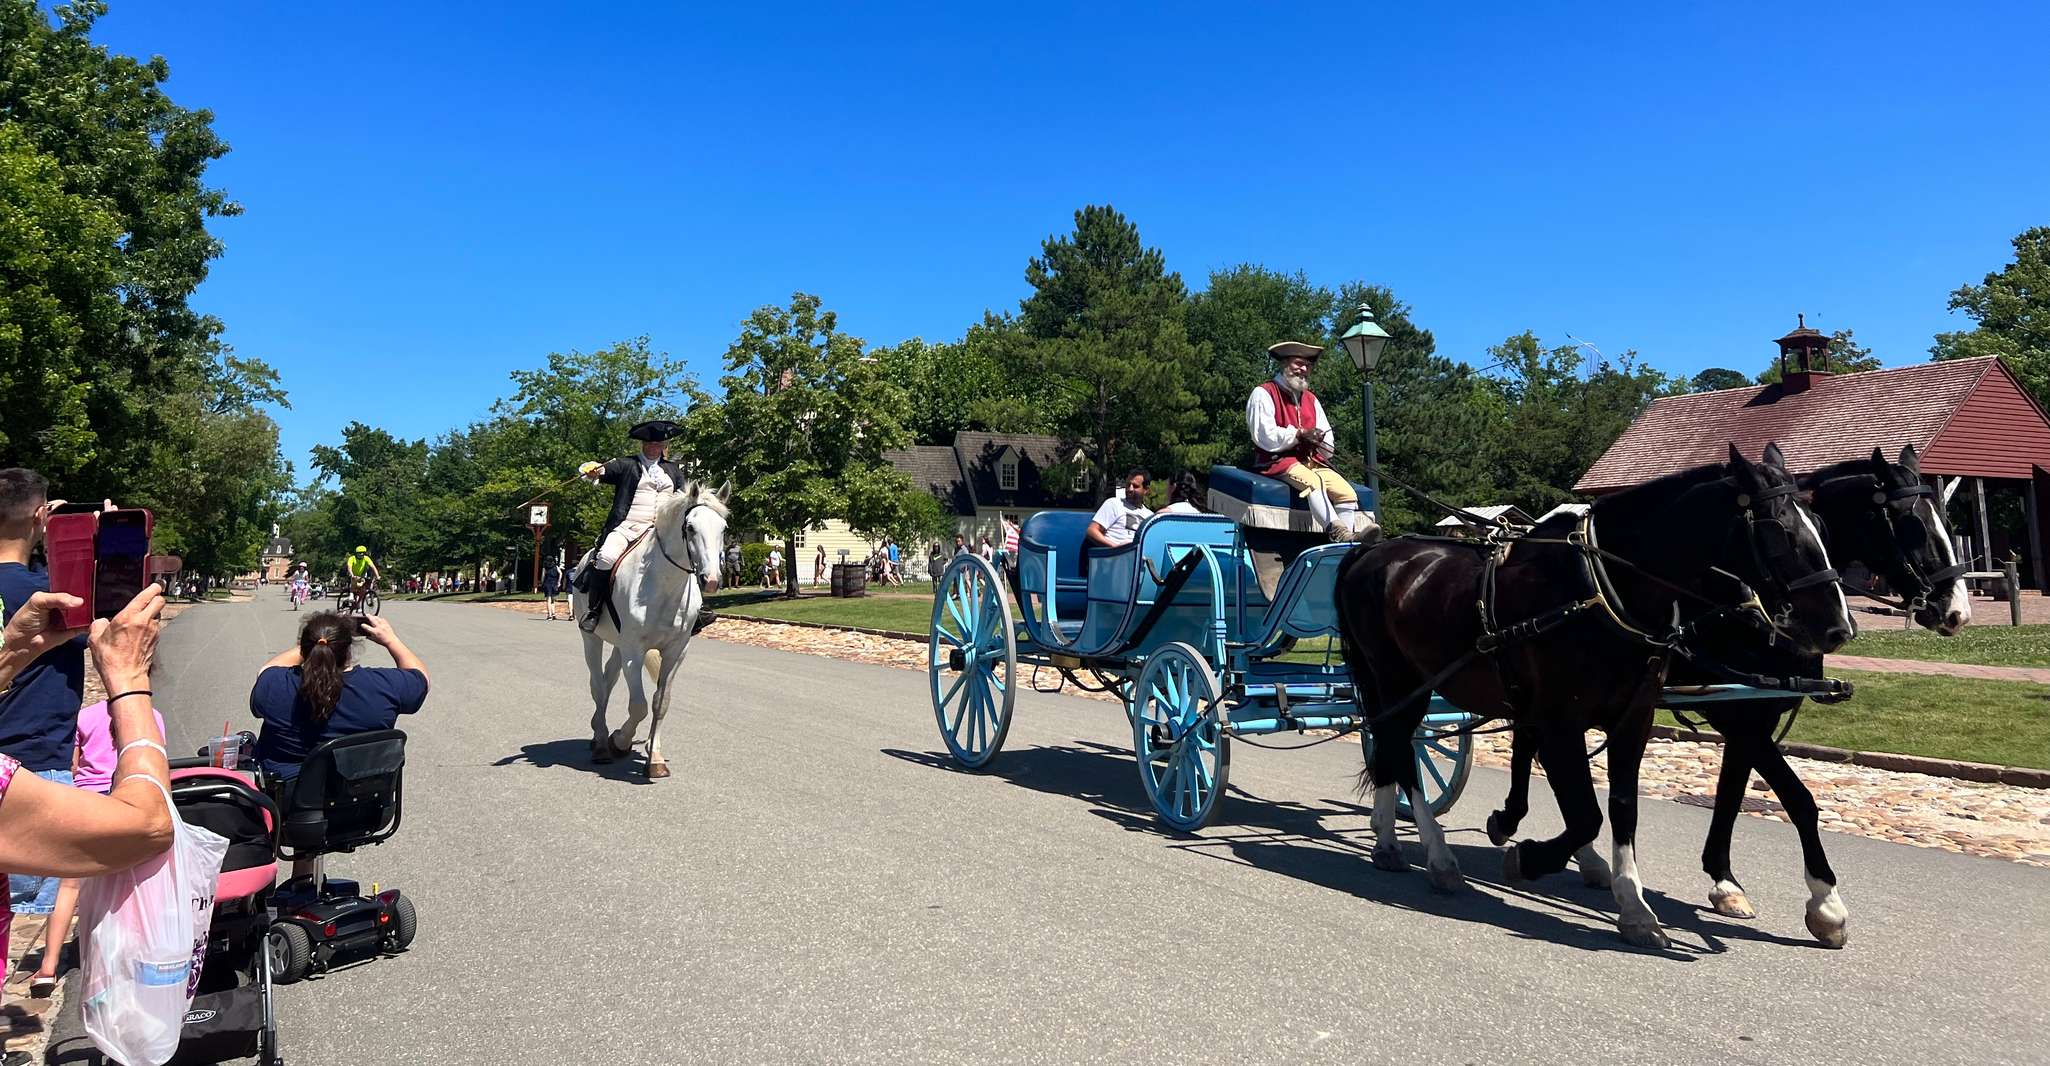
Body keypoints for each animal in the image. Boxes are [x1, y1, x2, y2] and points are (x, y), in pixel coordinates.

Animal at [574, 479, 733, 779]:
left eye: (723, 528)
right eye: (690, 527)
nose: (711, 580)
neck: (664, 586)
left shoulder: (675, 651)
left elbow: (661, 703)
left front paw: (654, 757)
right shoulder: (634, 652)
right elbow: (639, 705)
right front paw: (620, 740)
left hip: (618, 645)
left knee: (608, 680)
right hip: (592, 640)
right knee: (597, 685)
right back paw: (600, 743)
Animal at [1336, 444, 1853, 947]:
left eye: (1823, 527)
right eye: (1780, 532)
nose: (1838, 629)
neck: (1599, 593)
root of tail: (1373, 549)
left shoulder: (1635, 718)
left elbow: (1622, 807)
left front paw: (1634, 905)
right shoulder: (1560, 721)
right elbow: (1585, 815)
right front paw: (1529, 858)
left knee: (1391, 747)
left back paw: (1388, 839)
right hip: (1398, 681)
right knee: (1400, 750)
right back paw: (1435, 855)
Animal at [1492, 444, 1968, 947]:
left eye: (1949, 523)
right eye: (1911, 524)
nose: (1957, 612)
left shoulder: (1751, 714)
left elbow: (1732, 794)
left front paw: (1724, 880)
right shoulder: (1739, 718)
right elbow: (1798, 799)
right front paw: (1827, 904)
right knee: (1532, 745)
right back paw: (1517, 824)